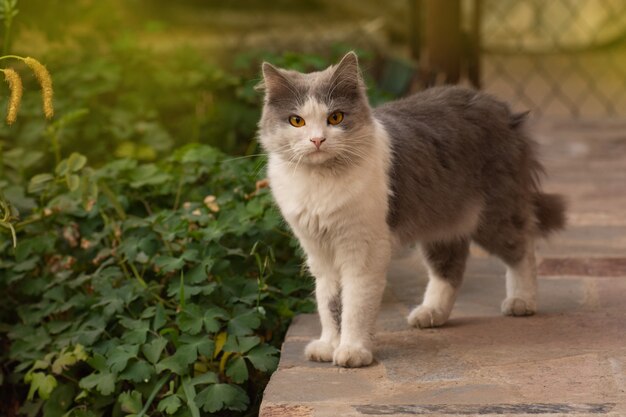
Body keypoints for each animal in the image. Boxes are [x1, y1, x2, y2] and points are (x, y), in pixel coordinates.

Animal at [256, 52, 564, 368]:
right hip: (442, 225)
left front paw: (353, 350)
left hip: (493, 216)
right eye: (297, 121)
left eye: (335, 117)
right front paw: (328, 345)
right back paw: (431, 313)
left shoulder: (363, 250)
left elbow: (354, 304)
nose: (317, 140)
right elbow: (329, 304)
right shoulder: (319, 252)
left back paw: (522, 302)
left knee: (523, 248)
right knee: (450, 269)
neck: (320, 183)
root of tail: (499, 106)